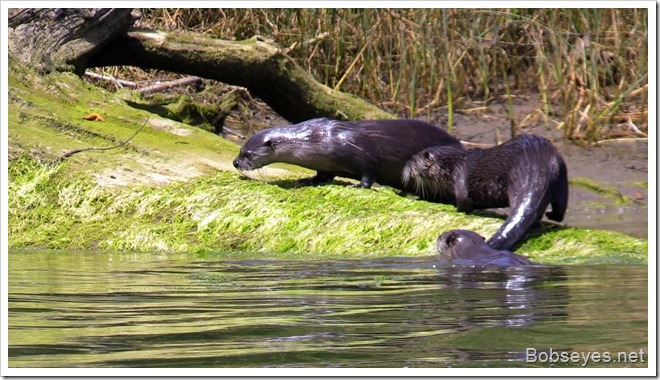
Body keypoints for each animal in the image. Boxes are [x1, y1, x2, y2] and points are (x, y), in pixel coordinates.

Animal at [235, 116, 462, 193]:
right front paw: (307, 180)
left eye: (248, 154)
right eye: (239, 151)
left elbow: (369, 171)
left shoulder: (358, 153)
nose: (236, 163)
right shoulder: (325, 164)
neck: (316, 140)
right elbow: (323, 176)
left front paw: (359, 186)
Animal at [402, 134, 568, 252]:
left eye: (413, 159)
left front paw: (454, 210)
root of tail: (536, 164)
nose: (406, 164)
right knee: (560, 208)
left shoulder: (460, 179)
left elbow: (463, 203)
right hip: (561, 175)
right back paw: (550, 216)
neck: (453, 166)